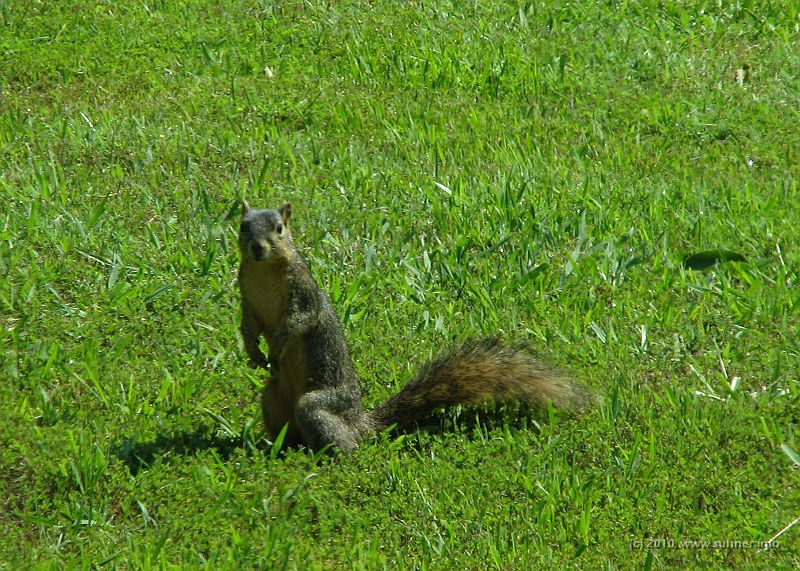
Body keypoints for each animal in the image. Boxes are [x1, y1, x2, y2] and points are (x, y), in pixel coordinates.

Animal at [238, 201, 591, 454]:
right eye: (242, 226)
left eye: (279, 228)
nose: (257, 247)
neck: (263, 271)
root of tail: (359, 423)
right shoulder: (245, 297)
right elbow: (246, 324)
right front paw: (253, 351)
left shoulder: (303, 292)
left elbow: (299, 321)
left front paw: (276, 347)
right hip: (272, 399)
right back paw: (276, 449)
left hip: (320, 405)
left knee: (337, 436)